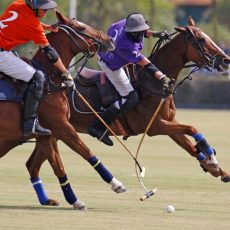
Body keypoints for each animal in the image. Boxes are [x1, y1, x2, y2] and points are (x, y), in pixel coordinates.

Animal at [0, 11, 128, 210]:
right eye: (82, 28)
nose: (110, 40)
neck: (51, 79)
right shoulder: (61, 127)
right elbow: (86, 152)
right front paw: (116, 184)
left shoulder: (48, 134)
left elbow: (57, 165)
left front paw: (74, 200)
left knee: (31, 165)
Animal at [16, 17, 230, 205]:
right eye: (201, 39)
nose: (226, 60)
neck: (151, 83)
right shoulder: (156, 126)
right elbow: (193, 129)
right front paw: (212, 158)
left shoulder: (169, 122)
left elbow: (189, 144)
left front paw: (216, 168)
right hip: (57, 129)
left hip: (53, 133)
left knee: (31, 164)